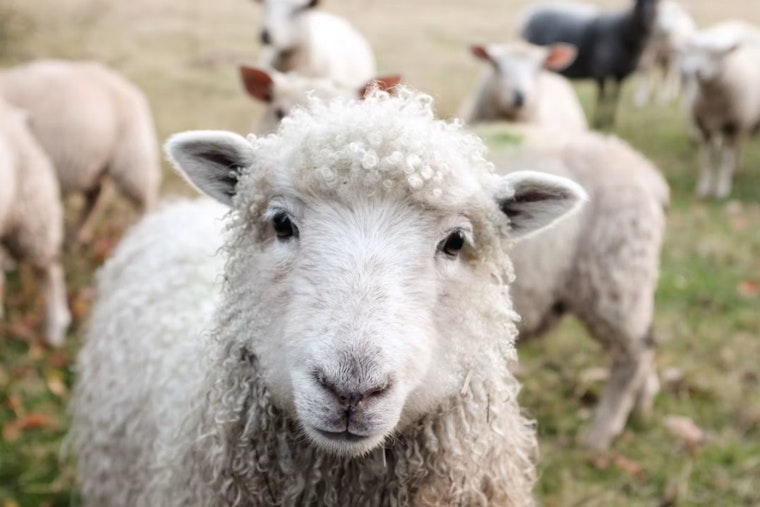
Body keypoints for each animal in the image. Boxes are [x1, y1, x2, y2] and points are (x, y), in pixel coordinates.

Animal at [0, 59, 161, 244]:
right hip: (94, 164)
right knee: (95, 196)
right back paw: (79, 235)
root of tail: (129, 87)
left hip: (133, 156)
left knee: (145, 197)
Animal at [520, 0, 659, 127]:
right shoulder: (601, 71)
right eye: (638, 3)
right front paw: (599, 122)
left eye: (656, 3)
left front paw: (610, 122)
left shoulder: (620, 75)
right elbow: (602, 97)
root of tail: (531, 11)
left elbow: (614, 98)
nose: (647, 19)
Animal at [679, 21, 760, 198]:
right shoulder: (705, 127)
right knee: (736, 147)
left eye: (717, 55)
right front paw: (703, 188)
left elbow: (725, 159)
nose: (697, 72)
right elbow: (707, 159)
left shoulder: (733, 126)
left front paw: (722, 189)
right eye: (694, 52)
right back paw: (736, 170)